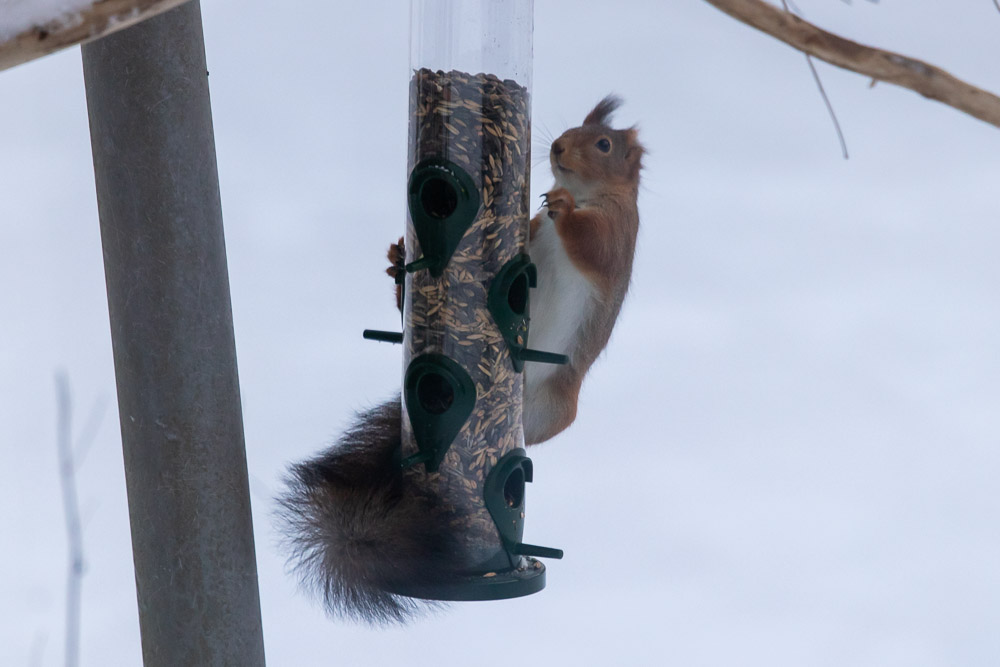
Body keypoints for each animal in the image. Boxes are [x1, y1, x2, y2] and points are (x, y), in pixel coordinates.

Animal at [278, 98, 644, 628]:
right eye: (573, 130)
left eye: (603, 144)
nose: (557, 148)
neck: (588, 191)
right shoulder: (536, 231)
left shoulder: (618, 230)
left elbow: (590, 243)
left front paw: (564, 206)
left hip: (547, 414)